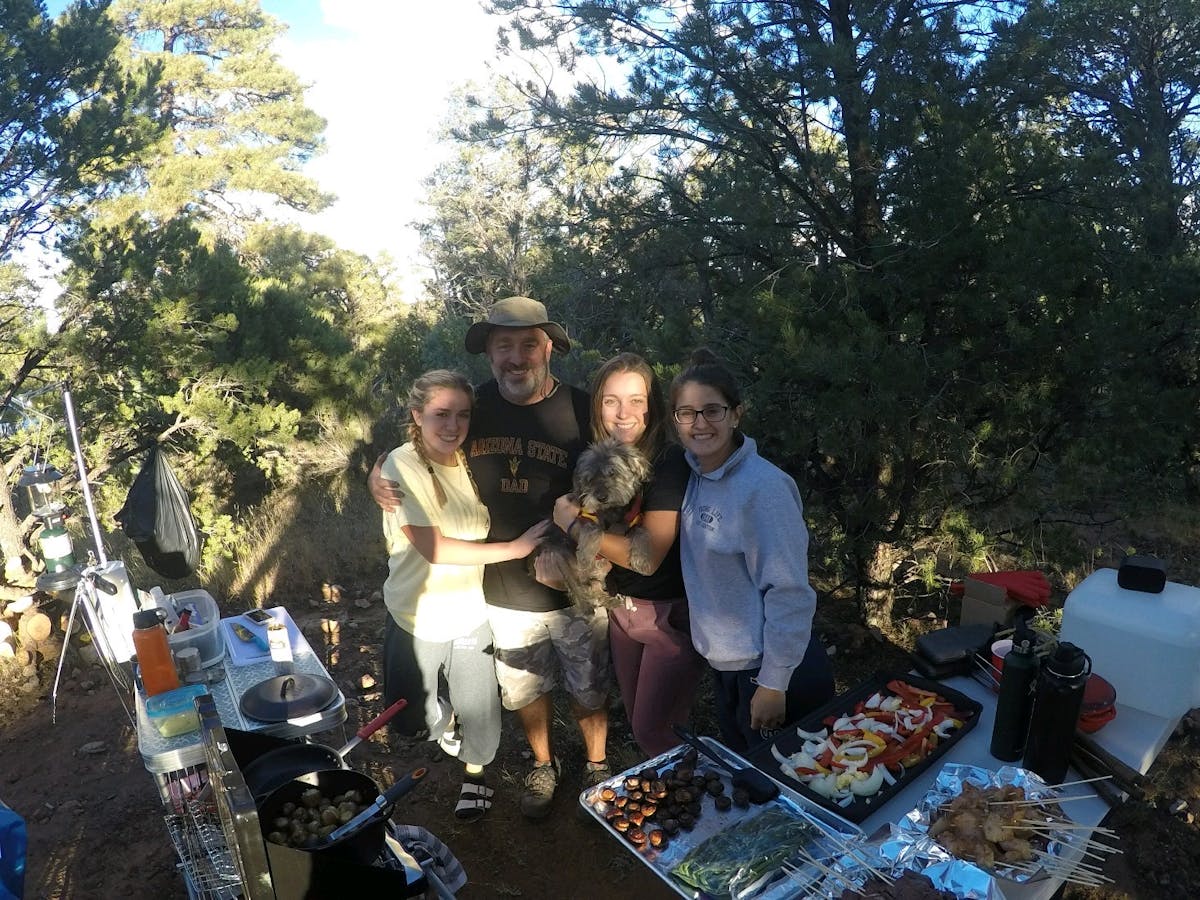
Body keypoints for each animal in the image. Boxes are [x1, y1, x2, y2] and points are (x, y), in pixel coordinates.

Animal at [537, 436, 652, 614]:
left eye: (612, 472)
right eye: (589, 479)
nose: (601, 497)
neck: (612, 510)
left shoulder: (634, 520)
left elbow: (641, 531)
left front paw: (642, 560)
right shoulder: (584, 517)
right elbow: (594, 530)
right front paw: (585, 556)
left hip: (598, 573)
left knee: (593, 589)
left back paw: (610, 601)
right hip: (558, 556)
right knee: (577, 588)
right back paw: (586, 607)